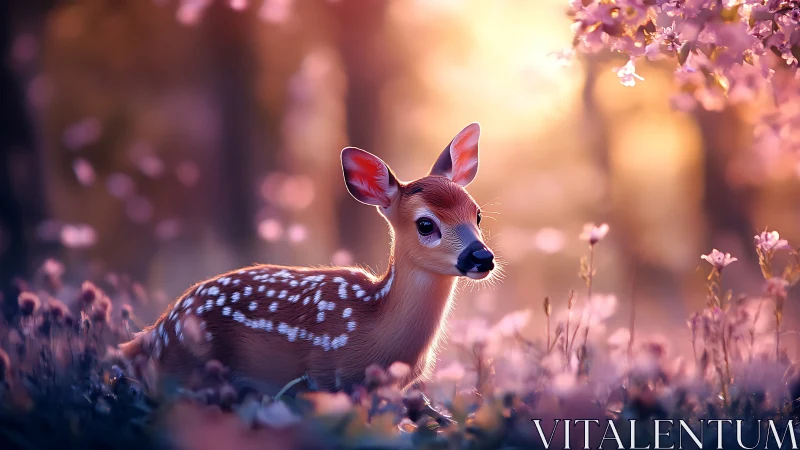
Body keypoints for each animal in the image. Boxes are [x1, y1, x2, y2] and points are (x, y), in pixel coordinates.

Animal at [119, 123, 496, 395]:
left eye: (477, 215)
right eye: (425, 224)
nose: (481, 257)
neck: (375, 328)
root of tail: (153, 334)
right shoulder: (326, 373)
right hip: (190, 372)